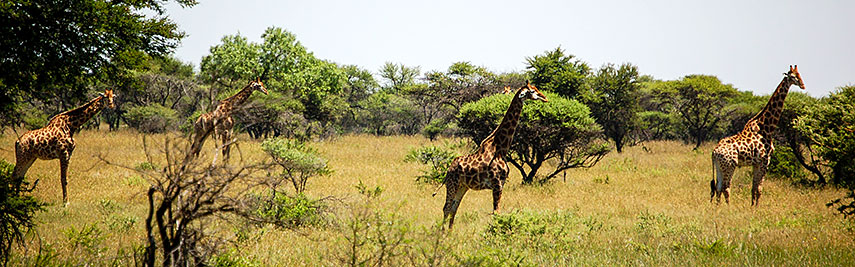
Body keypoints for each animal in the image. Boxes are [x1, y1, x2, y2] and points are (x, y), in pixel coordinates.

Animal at [434, 81, 548, 228]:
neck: (500, 148)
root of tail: (448, 169)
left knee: (454, 207)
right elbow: (496, 212)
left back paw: (449, 232)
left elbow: (496, 212)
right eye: (532, 91)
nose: (545, 97)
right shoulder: (496, 183)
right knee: (446, 207)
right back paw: (441, 234)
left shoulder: (502, 183)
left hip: (463, 186)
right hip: (452, 183)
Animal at [712, 65, 804, 207]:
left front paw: (752, 206)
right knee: (726, 187)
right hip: (730, 165)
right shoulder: (765, 161)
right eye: (793, 77)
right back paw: (729, 208)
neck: (766, 127)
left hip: (719, 166)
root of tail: (714, 152)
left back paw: (717, 208)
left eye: (800, 75)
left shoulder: (756, 163)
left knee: (718, 187)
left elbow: (753, 187)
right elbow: (760, 188)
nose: (803, 85)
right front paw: (757, 207)